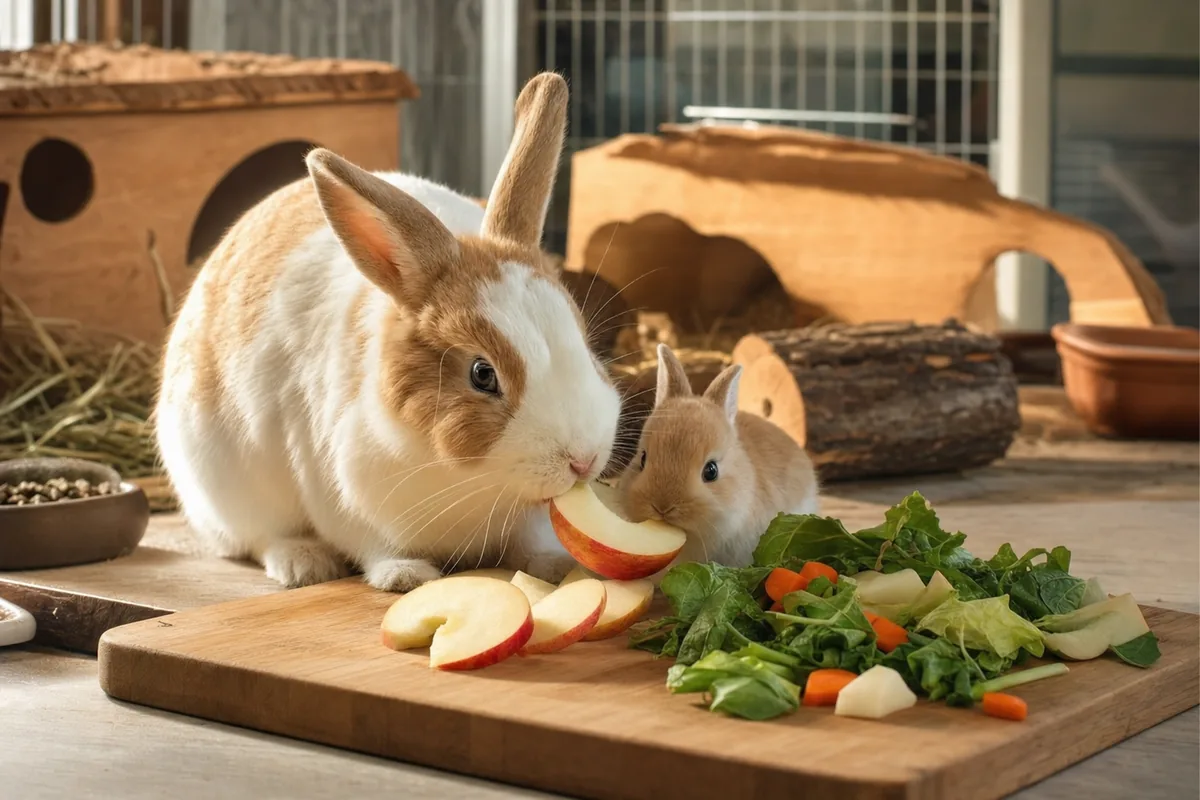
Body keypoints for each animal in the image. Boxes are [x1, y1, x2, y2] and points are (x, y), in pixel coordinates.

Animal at [154, 73, 622, 593]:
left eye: (585, 346)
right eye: (482, 375)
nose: (582, 460)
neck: (470, 481)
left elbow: (529, 542)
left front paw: (555, 566)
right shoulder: (343, 496)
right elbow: (374, 546)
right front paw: (405, 576)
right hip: (226, 492)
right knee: (260, 538)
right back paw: (303, 564)